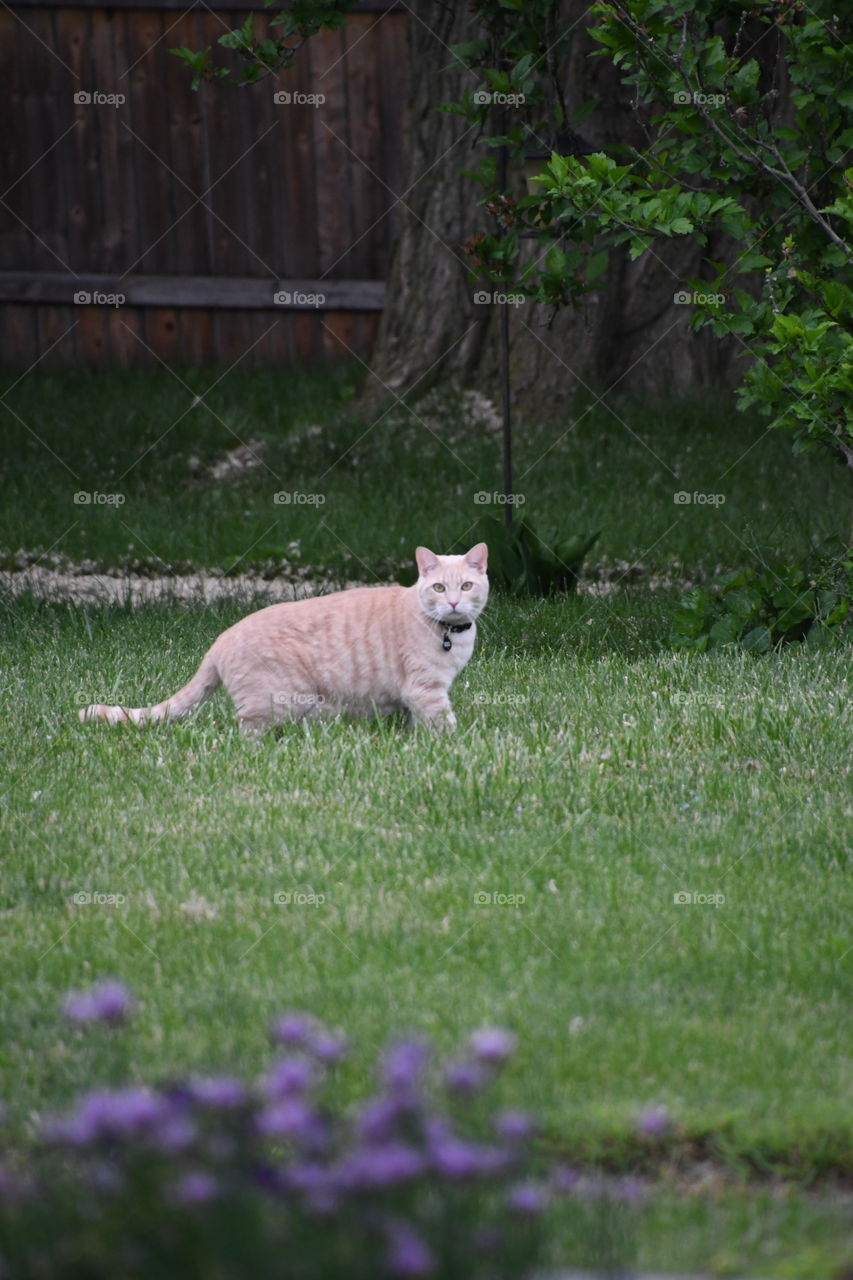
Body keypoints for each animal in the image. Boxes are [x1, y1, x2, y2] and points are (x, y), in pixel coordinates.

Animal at [83, 542, 489, 737]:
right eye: (439, 587)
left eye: (467, 586)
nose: (454, 602)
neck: (449, 633)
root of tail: (219, 640)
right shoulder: (425, 690)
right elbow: (444, 724)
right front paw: (453, 746)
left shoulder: (408, 696)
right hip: (277, 701)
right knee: (245, 727)